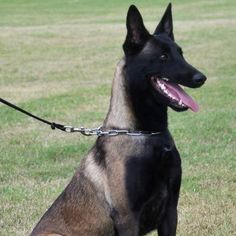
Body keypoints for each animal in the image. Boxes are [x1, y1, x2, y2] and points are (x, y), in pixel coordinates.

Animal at [30, 3, 206, 236]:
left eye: (181, 53)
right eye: (163, 57)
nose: (201, 78)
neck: (147, 133)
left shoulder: (170, 212)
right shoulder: (128, 218)